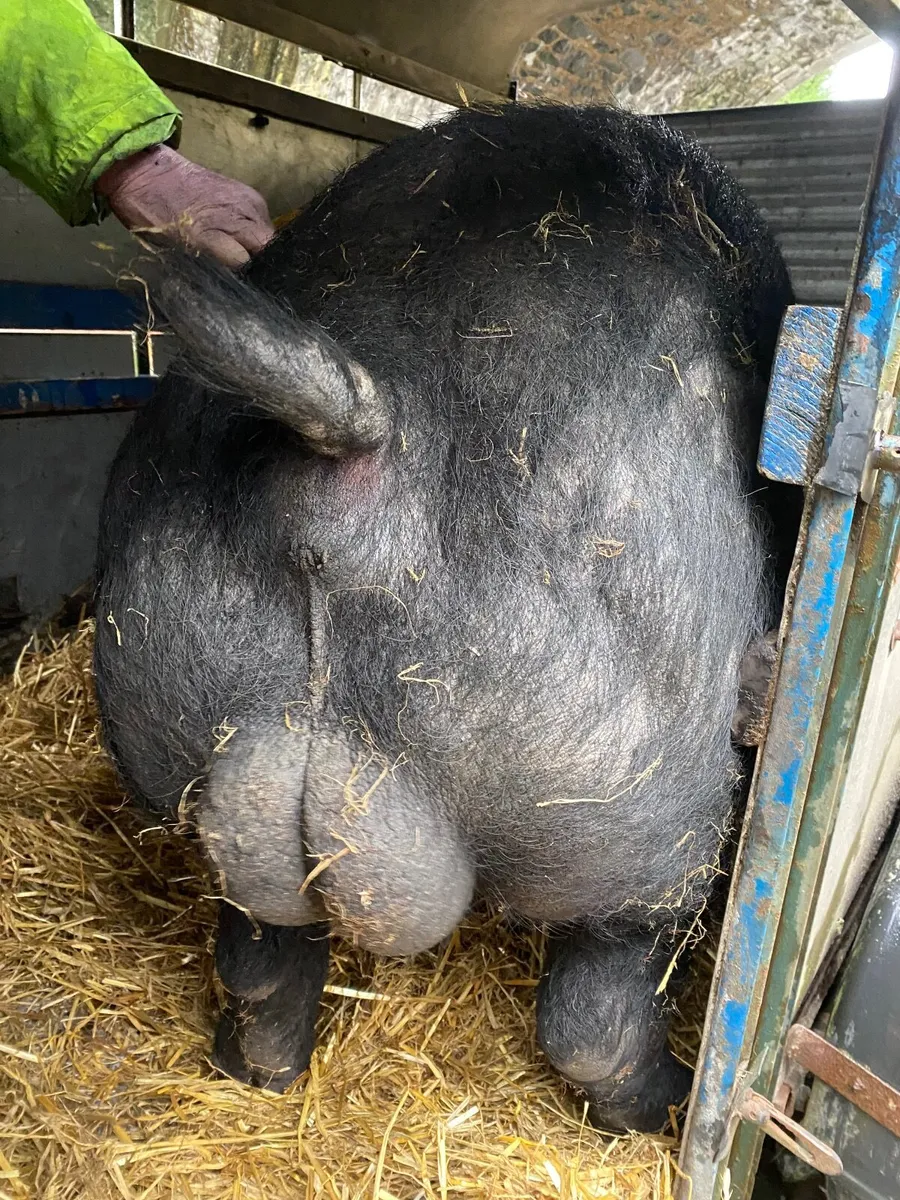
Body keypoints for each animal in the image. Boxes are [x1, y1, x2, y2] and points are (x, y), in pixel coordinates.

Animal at [93, 102, 796, 1132]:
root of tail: (366, 443)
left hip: (189, 726)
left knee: (259, 950)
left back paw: (255, 1070)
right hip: (628, 800)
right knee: (596, 1010)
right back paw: (659, 1110)